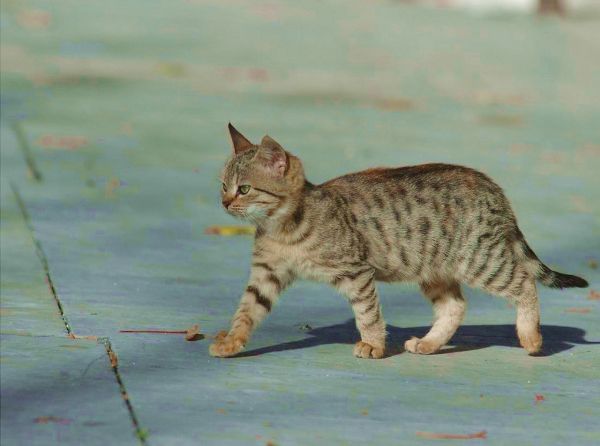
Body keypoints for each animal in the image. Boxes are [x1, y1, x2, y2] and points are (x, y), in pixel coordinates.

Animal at [209, 124, 588, 358]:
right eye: (223, 185)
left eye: (244, 189)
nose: (225, 202)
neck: (283, 229)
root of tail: (492, 186)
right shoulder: (266, 275)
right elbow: (246, 311)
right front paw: (231, 341)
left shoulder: (356, 271)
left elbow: (367, 313)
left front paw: (373, 345)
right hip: (435, 268)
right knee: (455, 306)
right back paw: (429, 343)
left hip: (481, 260)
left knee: (524, 282)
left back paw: (531, 337)